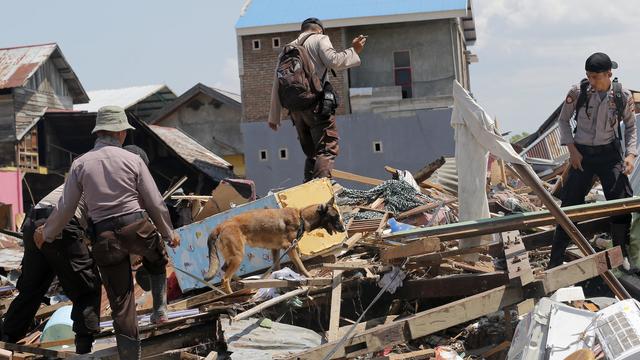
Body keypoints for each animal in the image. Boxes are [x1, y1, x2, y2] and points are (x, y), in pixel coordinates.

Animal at [205, 198, 344, 294]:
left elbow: (277, 267)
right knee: (225, 279)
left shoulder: (275, 249)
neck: (301, 217)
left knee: (224, 268)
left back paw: (244, 282)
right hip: (237, 256)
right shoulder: (290, 248)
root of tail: (221, 225)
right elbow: (300, 264)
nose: (343, 229)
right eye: (335, 216)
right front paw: (309, 277)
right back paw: (231, 294)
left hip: (233, 256)